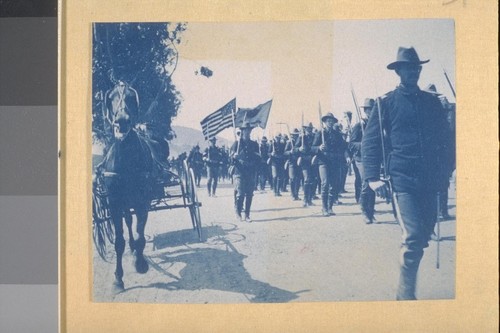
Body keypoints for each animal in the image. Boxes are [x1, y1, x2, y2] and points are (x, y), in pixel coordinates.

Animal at [96, 81, 153, 290]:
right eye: (111, 97)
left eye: (130, 97)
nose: (121, 120)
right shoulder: (114, 202)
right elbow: (119, 241)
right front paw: (118, 278)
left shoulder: (143, 200)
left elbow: (140, 234)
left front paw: (140, 262)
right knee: (128, 221)